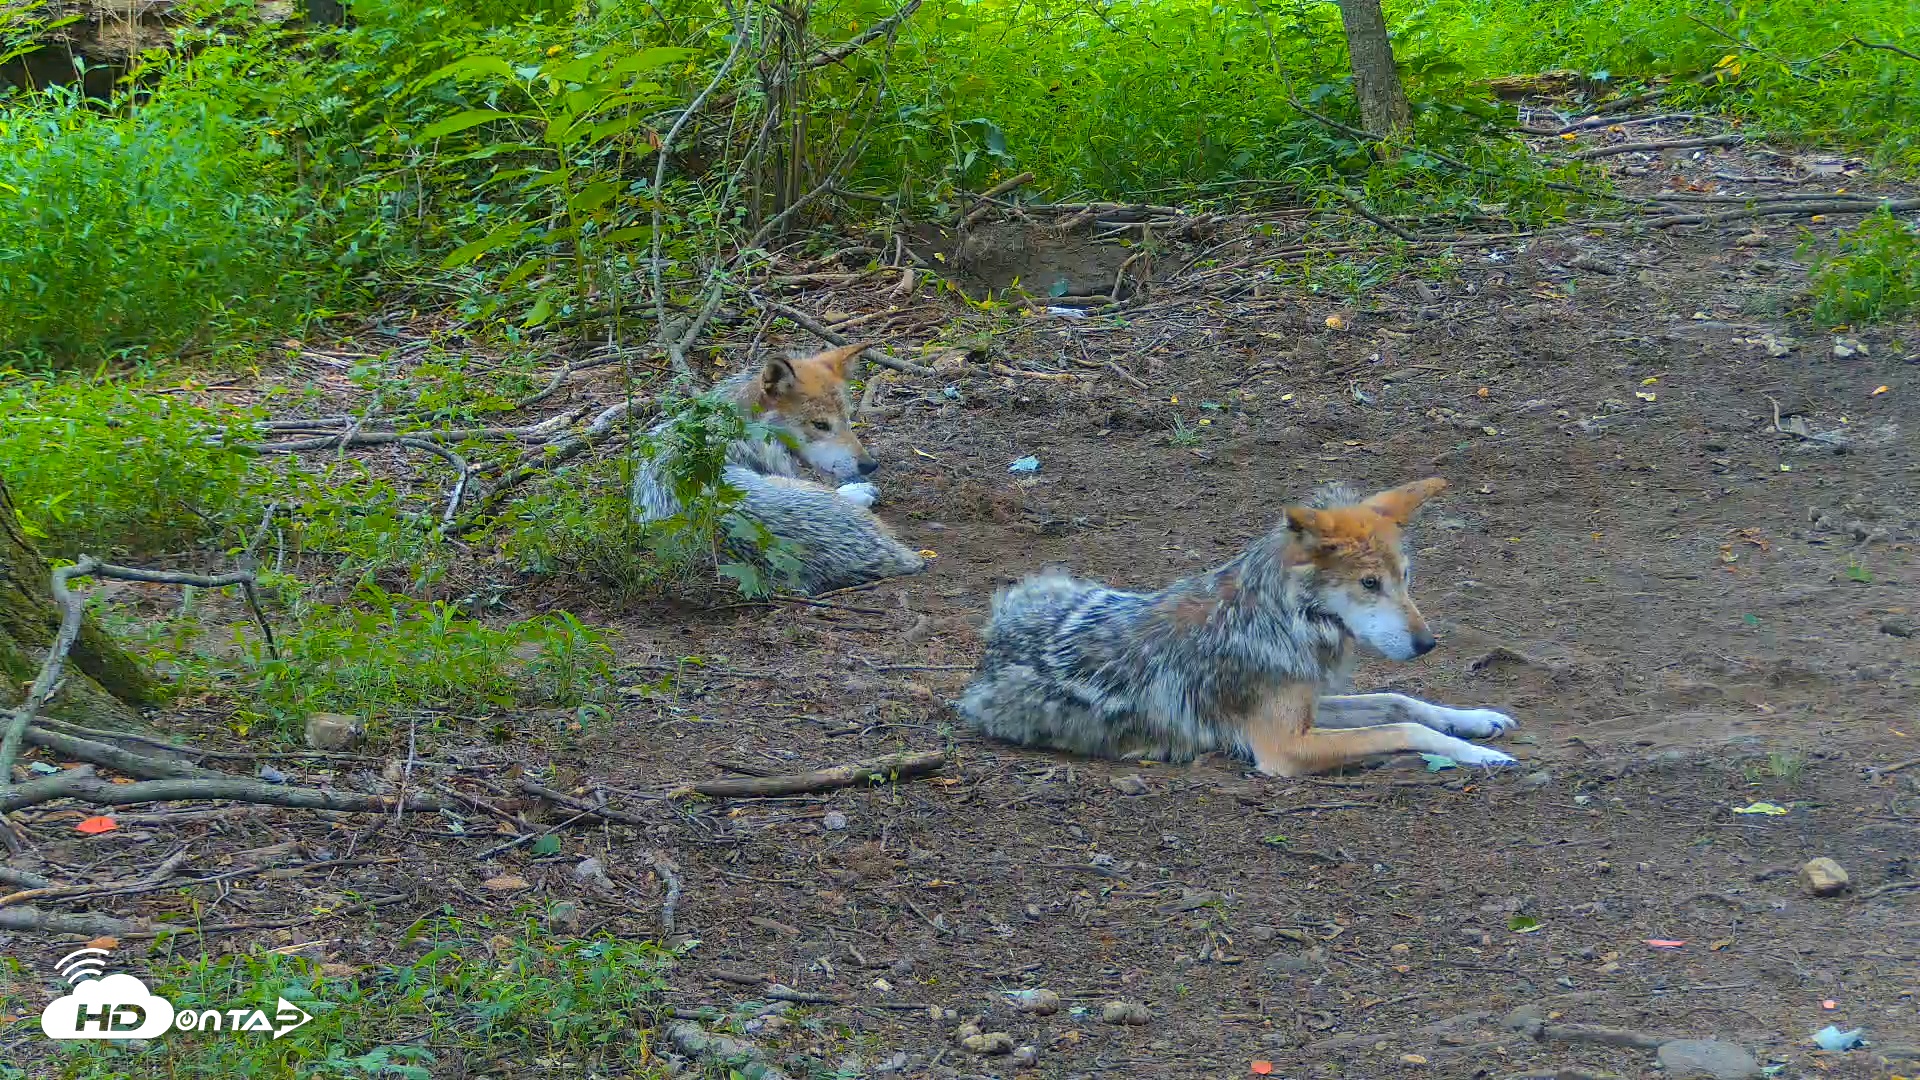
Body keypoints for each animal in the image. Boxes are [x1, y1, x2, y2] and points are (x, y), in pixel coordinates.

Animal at [956, 478, 1518, 776]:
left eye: (1406, 578)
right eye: (1369, 583)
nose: (1428, 644)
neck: (1286, 619)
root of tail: (987, 653)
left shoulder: (1308, 706)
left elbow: (1399, 701)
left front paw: (1477, 720)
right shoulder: (1284, 747)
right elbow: (1403, 727)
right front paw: (1481, 754)